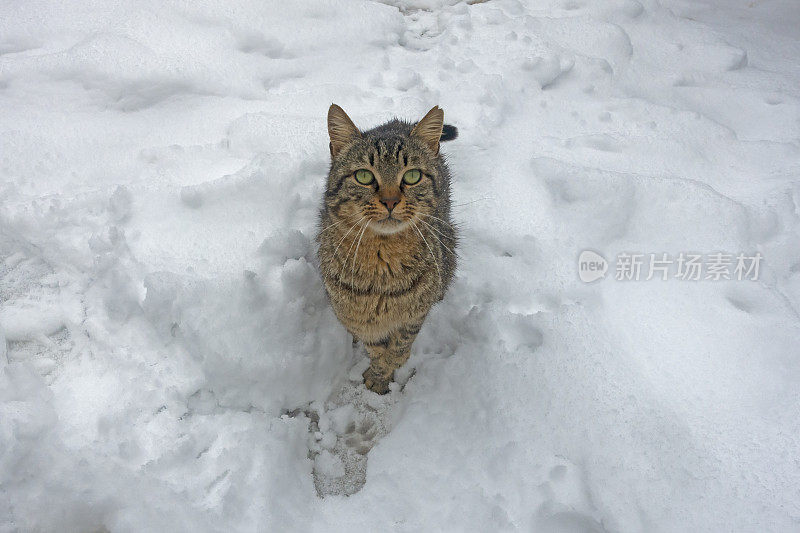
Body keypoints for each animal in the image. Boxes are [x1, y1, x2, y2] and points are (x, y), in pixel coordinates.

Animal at [318, 104, 456, 392]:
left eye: (413, 176)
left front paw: (389, 367)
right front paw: (379, 372)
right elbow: (375, 347)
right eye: (364, 175)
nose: (391, 201)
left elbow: (401, 343)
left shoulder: (416, 313)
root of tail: (399, 121)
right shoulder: (355, 316)